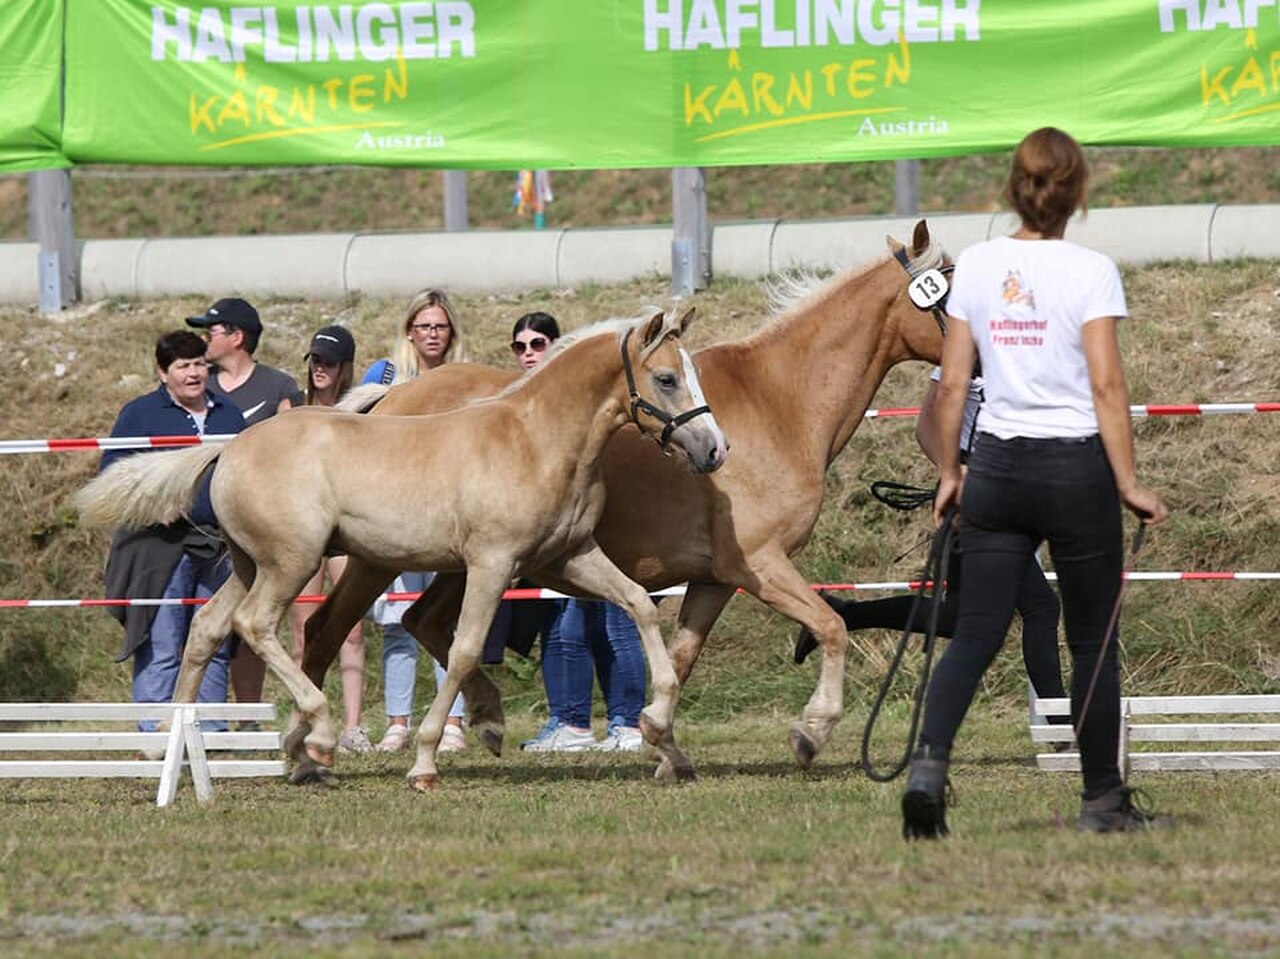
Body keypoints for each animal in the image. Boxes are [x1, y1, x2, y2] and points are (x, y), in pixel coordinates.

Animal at [74, 311, 727, 788]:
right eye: (666, 378)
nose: (714, 450)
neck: (536, 440)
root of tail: (229, 448)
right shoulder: (492, 563)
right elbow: (463, 651)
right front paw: (426, 761)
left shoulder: (567, 557)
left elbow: (639, 603)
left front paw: (658, 725)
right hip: (294, 563)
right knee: (256, 625)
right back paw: (315, 733)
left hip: (249, 564)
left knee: (208, 627)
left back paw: (184, 754)